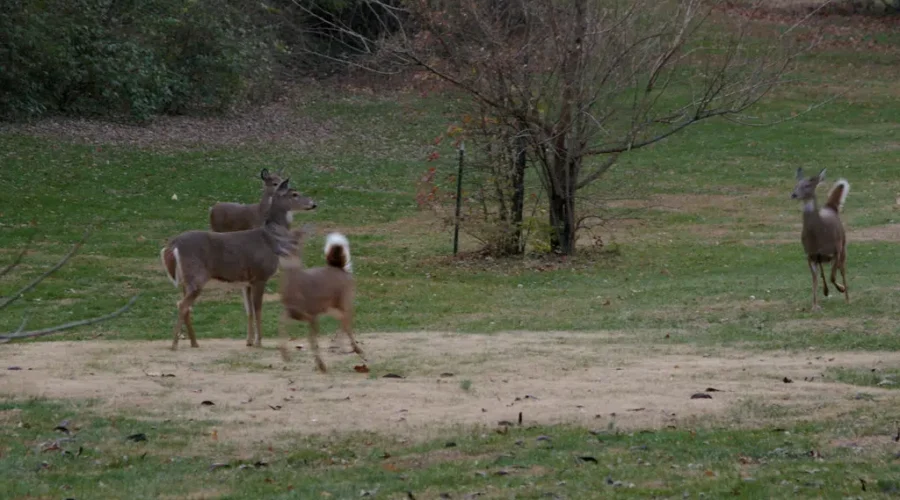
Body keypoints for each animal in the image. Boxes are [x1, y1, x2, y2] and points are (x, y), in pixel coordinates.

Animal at [160, 178, 307, 351]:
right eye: (295, 194)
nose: (313, 203)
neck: (271, 239)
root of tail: (173, 245)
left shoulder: (247, 281)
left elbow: (249, 310)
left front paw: (249, 341)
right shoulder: (260, 275)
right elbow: (258, 308)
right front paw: (259, 341)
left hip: (186, 279)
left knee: (186, 306)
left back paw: (194, 343)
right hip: (196, 275)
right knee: (182, 304)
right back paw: (174, 344)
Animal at [276, 226, 365, 373]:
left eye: (295, 242)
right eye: (280, 241)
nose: (283, 252)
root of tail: (340, 268)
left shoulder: (312, 314)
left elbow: (312, 340)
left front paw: (321, 365)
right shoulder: (291, 311)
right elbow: (282, 324)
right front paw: (285, 355)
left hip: (345, 299)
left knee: (347, 320)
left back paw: (354, 349)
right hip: (331, 307)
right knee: (343, 320)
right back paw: (341, 346)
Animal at [791, 168, 850, 311]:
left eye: (807, 185)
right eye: (796, 185)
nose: (793, 194)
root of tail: (830, 207)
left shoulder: (836, 249)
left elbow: (833, 276)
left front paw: (842, 289)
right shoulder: (810, 254)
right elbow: (815, 279)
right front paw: (814, 305)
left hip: (843, 245)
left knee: (842, 269)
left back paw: (847, 298)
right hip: (821, 257)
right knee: (823, 272)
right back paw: (826, 291)